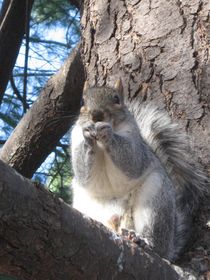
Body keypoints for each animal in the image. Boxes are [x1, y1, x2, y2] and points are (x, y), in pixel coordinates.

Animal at [71, 78, 207, 260]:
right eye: (82, 102)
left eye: (116, 99)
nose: (96, 115)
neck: (99, 143)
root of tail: (169, 249)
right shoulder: (75, 139)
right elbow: (83, 174)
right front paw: (88, 136)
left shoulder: (134, 141)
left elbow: (132, 161)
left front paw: (108, 133)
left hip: (155, 198)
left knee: (156, 239)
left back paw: (144, 241)